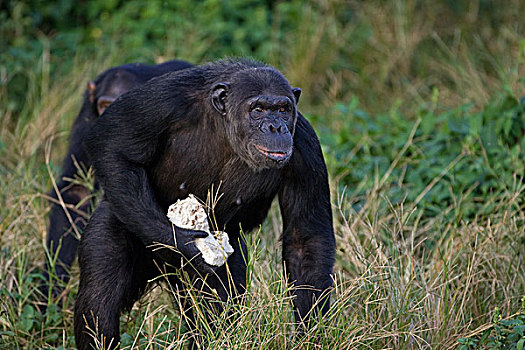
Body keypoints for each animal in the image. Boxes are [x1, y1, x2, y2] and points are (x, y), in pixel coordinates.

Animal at [41, 58, 192, 302]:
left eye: (124, 100)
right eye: (104, 105)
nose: (114, 117)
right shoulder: (89, 116)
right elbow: (76, 192)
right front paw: (49, 288)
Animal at [75, 57, 334, 348]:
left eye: (282, 109)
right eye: (258, 109)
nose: (275, 126)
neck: (225, 127)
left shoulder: (305, 148)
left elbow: (305, 239)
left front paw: (310, 336)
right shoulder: (161, 100)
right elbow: (113, 146)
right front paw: (181, 242)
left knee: (214, 314)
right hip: (119, 220)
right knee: (99, 297)